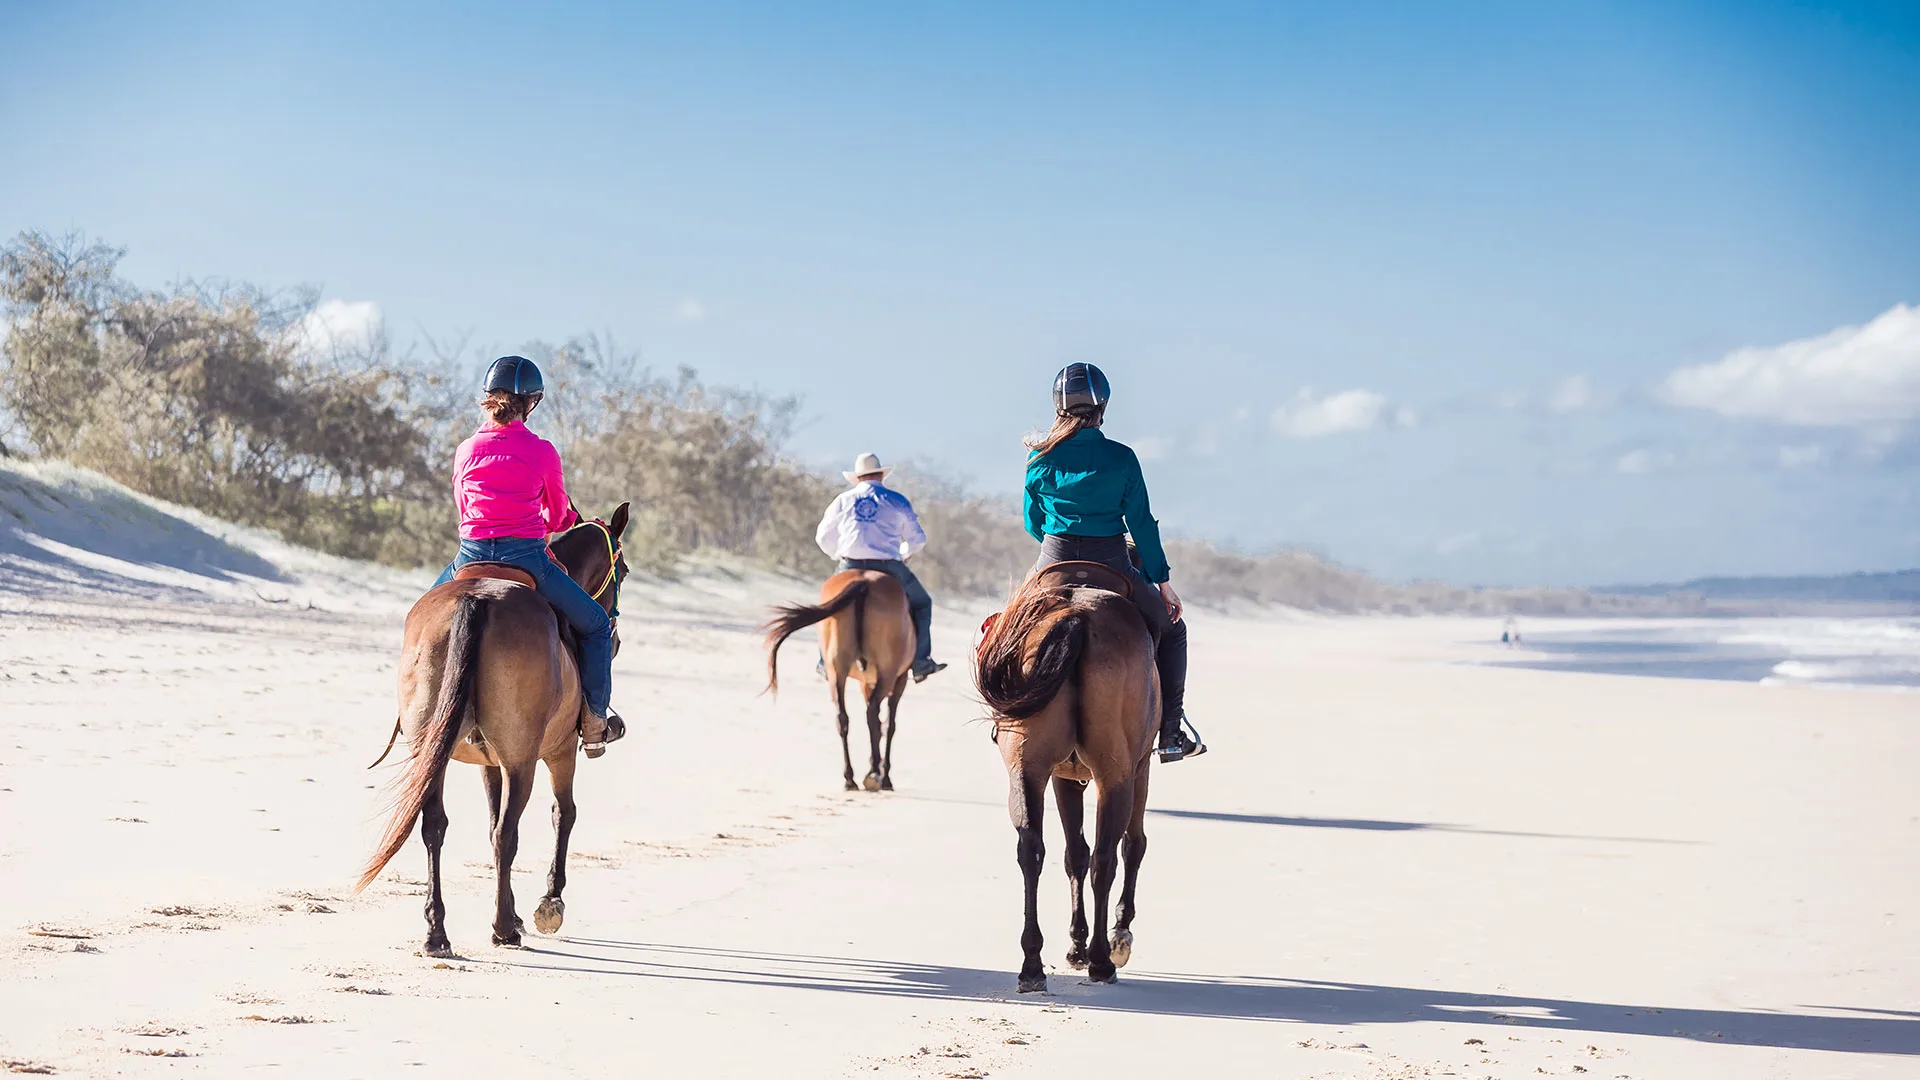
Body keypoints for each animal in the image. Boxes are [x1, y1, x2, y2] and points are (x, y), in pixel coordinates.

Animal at [357, 499, 633, 953]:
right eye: (623, 571)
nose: (615, 637)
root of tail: (476, 600)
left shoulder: (490, 763)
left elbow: (486, 825)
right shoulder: (558, 751)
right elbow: (563, 813)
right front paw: (548, 903)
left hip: (433, 752)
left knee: (435, 827)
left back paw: (437, 932)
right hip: (522, 757)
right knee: (508, 832)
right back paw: (503, 927)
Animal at [764, 568, 913, 787]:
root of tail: (864, 582)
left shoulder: (866, 682)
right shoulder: (899, 679)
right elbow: (888, 725)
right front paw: (885, 775)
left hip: (837, 670)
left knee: (842, 718)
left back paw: (850, 777)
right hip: (887, 673)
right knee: (872, 714)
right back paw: (874, 775)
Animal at [975, 557, 1152, 991]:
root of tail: (1076, 615)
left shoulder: (1062, 777)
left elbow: (1074, 854)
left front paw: (1075, 945)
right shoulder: (1138, 770)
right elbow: (1131, 846)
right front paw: (1116, 935)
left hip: (1027, 768)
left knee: (1031, 849)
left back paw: (1032, 964)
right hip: (1115, 775)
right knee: (1106, 857)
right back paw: (1103, 960)